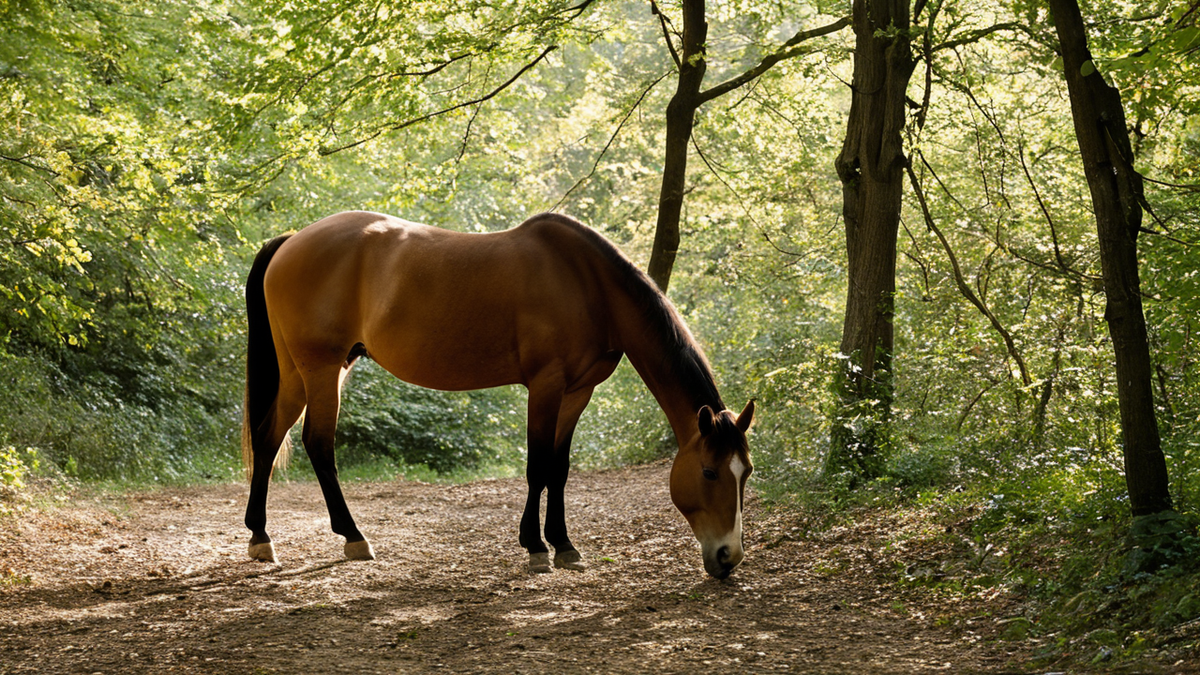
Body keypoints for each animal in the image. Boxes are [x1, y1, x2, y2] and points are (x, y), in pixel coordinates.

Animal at [241, 211, 754, 579]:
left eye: (745, 472)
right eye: (709, 472)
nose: (727, 557)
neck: (586, 283)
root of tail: (292, 240)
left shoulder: (578, 391)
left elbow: (559, 469)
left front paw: (564, 545)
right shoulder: (545, 385)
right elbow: (537, 467)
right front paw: (536, 546)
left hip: (302, 373)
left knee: (269, 437)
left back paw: (261, 538)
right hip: (322, 368)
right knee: (318, 444)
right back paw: (353, 537)